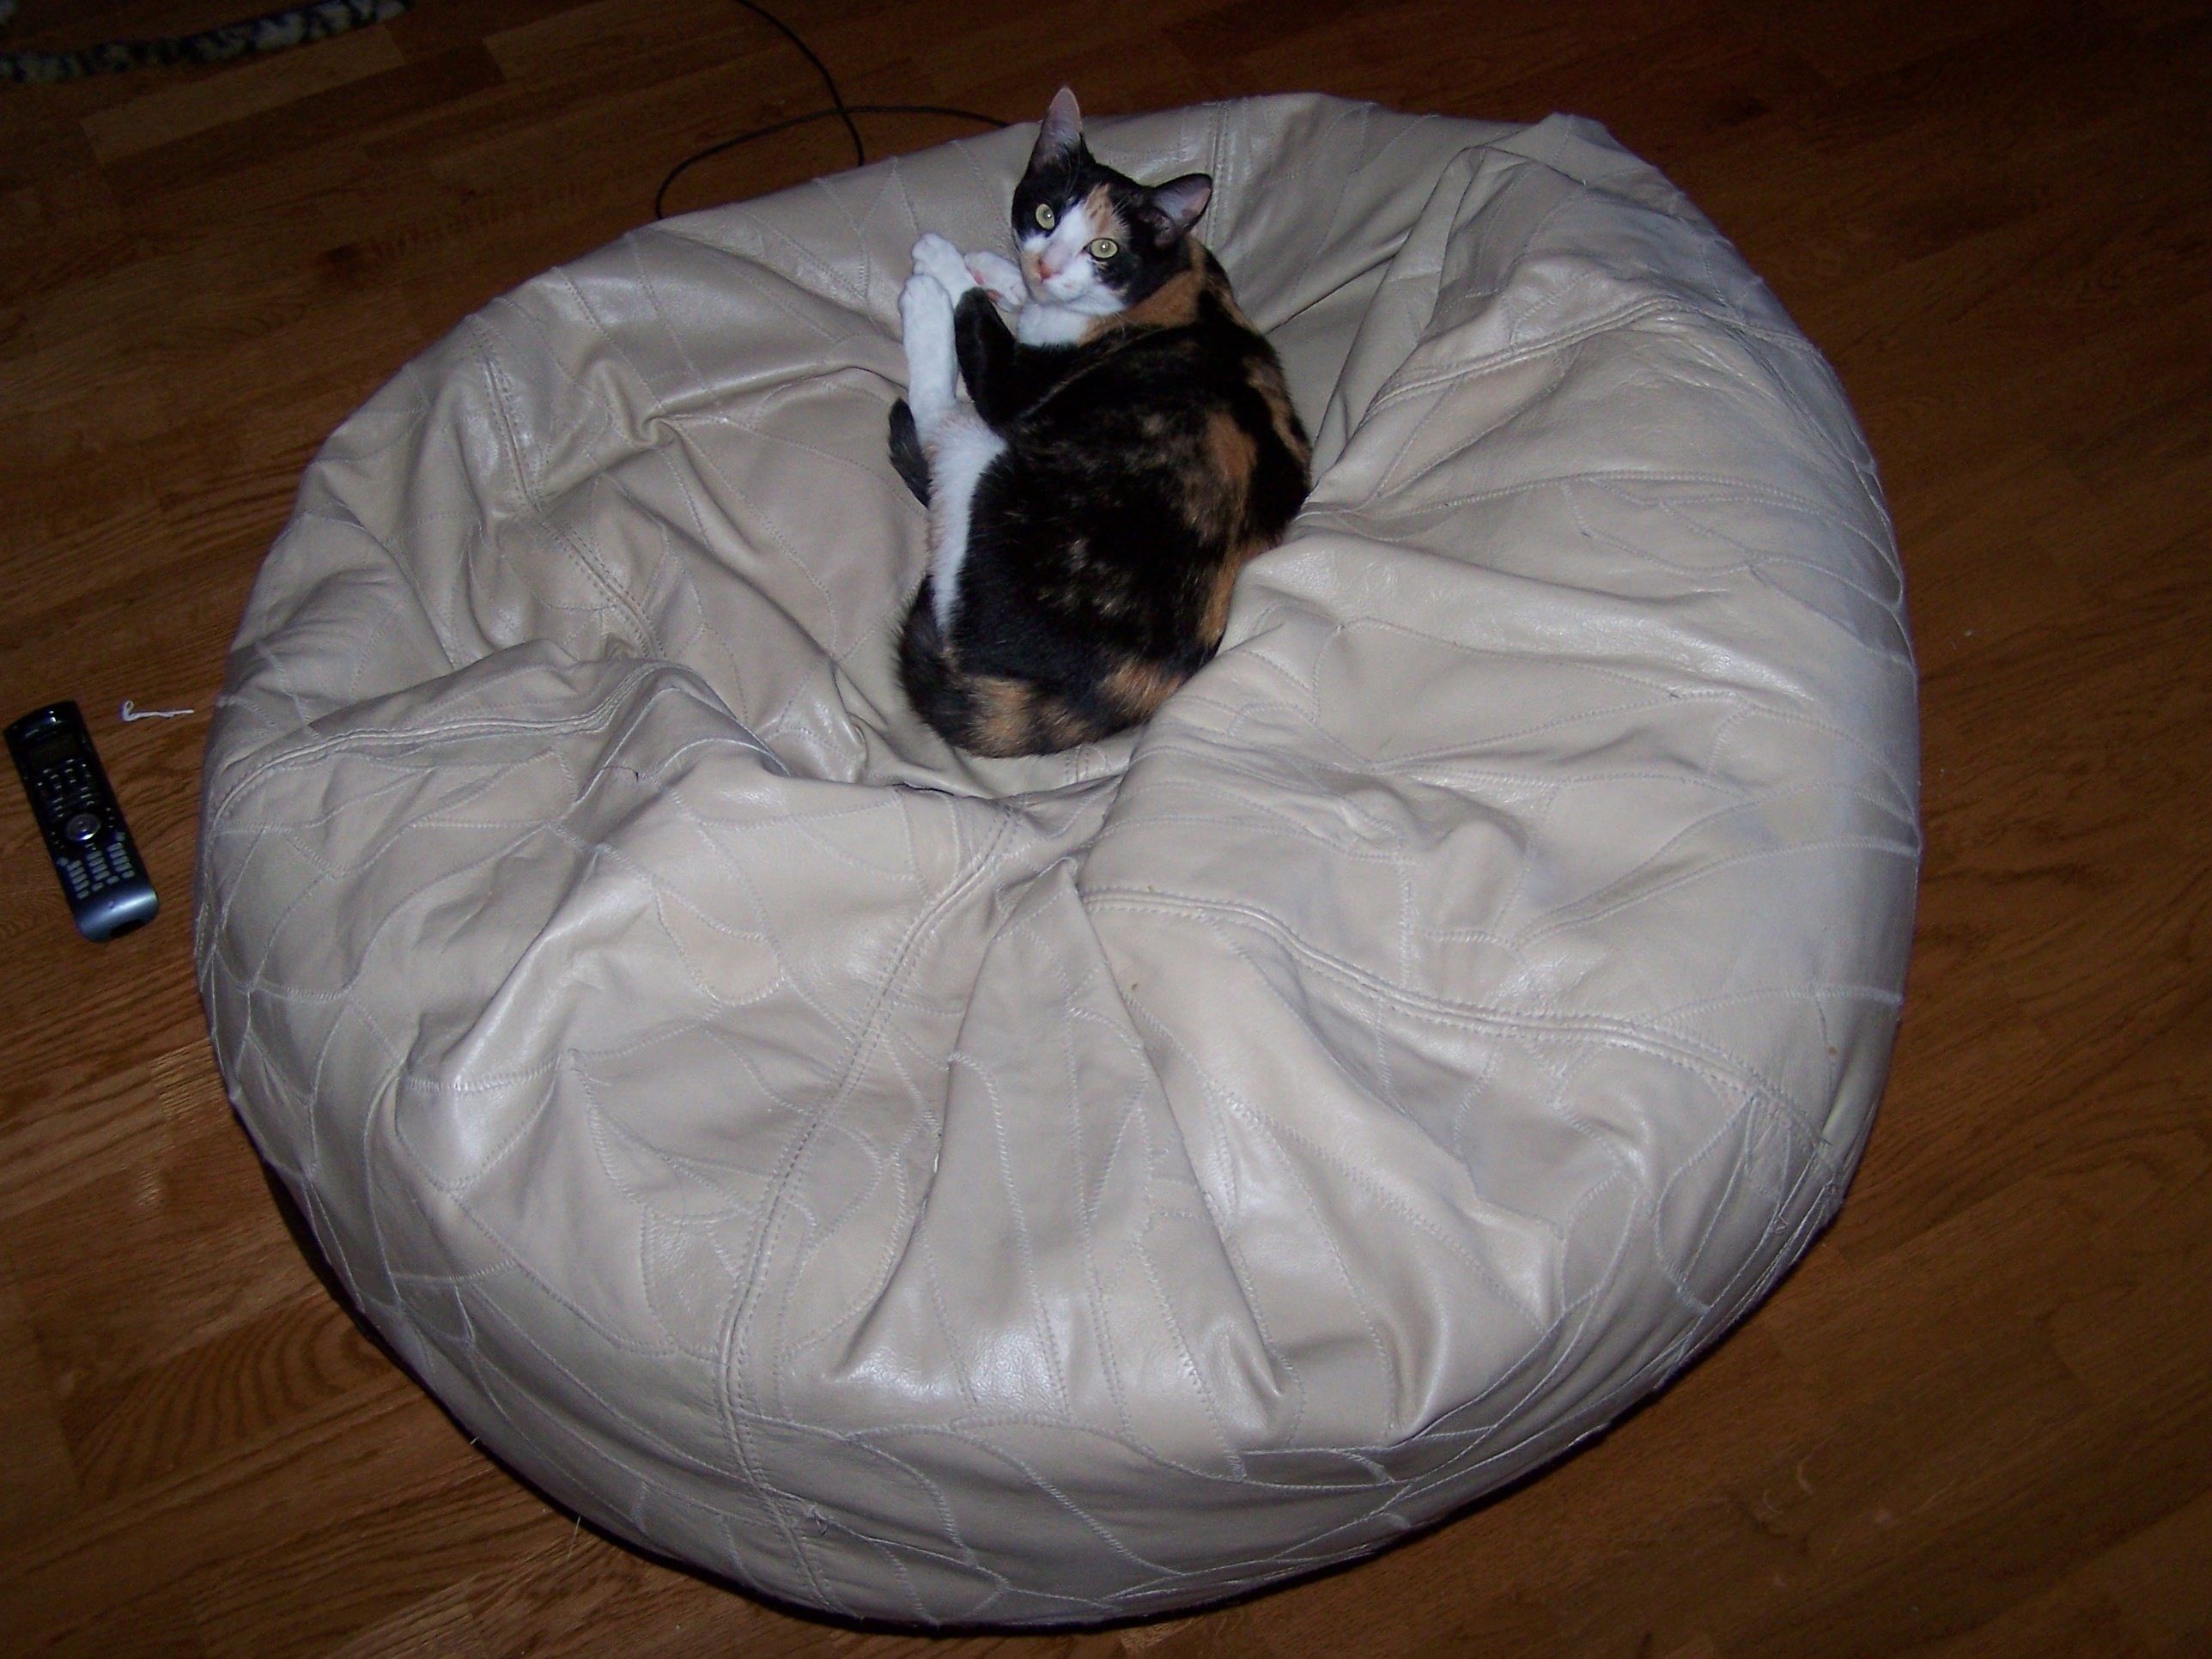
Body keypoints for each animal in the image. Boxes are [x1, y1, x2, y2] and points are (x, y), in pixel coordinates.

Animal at [890, 87, 1312, 758]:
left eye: (1105, 248)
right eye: (1044, 214)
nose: (1047, 267)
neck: (1172, 279)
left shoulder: (1014, 385)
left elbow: (979, 321)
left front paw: (948, 267)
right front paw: (994, 267)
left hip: (984, 459)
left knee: (940, 434)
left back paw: (924, 308)